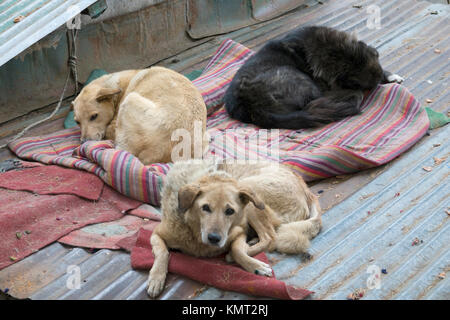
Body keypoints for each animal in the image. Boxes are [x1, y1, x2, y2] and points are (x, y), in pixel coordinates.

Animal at [147, 160, 320, 298]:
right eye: (205, 208)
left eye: (230, 211)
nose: (214, 238)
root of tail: (307, 191)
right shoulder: (156, 234)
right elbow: (163, 252)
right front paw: (156, 279)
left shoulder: (239, 231)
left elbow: (237, 250)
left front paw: (255, 266)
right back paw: (252, 241)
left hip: (250, 192)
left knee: (271, 238)